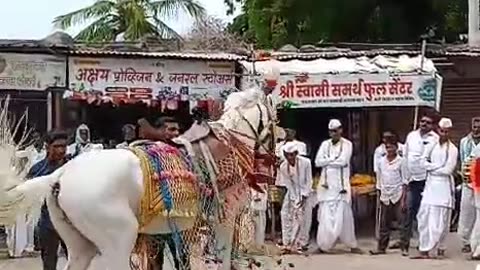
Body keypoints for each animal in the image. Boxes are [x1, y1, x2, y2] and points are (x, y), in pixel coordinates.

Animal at [0, 85, 276, 268]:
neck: (231, 142)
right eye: (274, 119)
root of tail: (62, 172)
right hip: (119, 239)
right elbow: (223, 259)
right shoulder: (224, 219)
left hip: (79, 244)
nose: (271, 158)